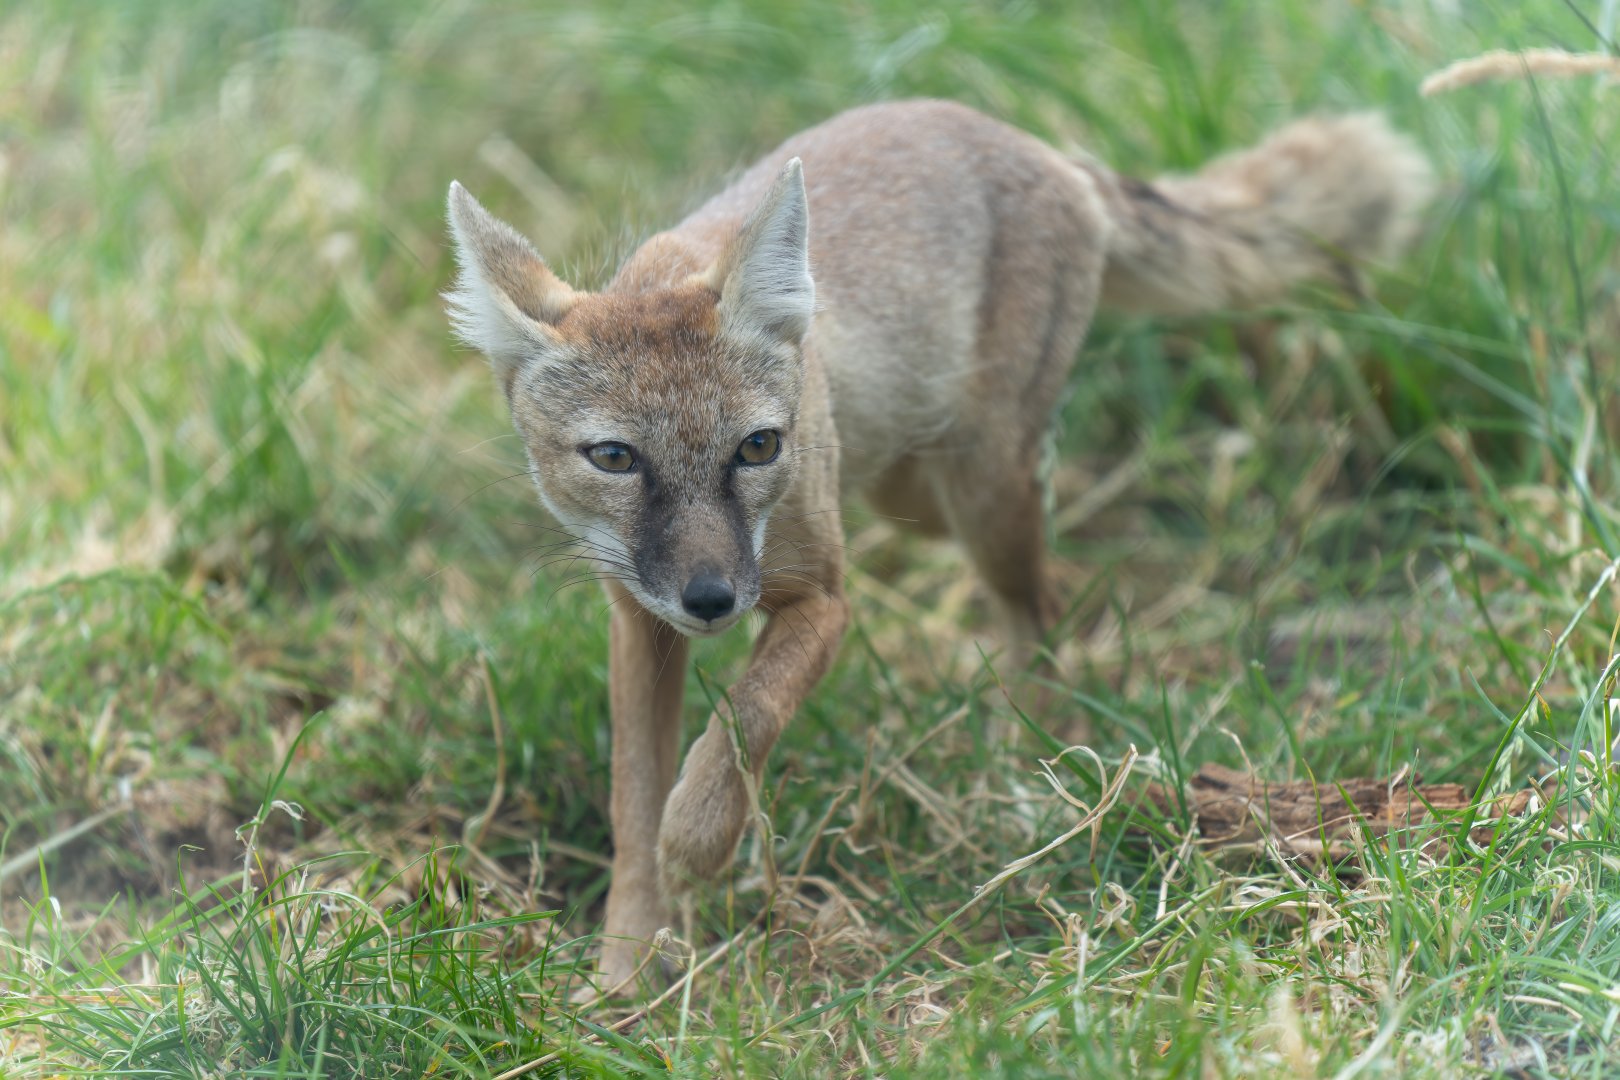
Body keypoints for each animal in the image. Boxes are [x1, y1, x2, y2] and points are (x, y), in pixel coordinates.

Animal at [444, 99, 1432, 994]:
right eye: (615, 458)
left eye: (755, 447)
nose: (713, 601)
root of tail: (1035, 144)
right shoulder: (639, 617)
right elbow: (630, 800)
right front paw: (624, 970)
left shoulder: (824, 601)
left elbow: (745, 719)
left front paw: (699, 838)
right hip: (910, 487)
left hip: (984, 494)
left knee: (1041, 607)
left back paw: (1027, 760)